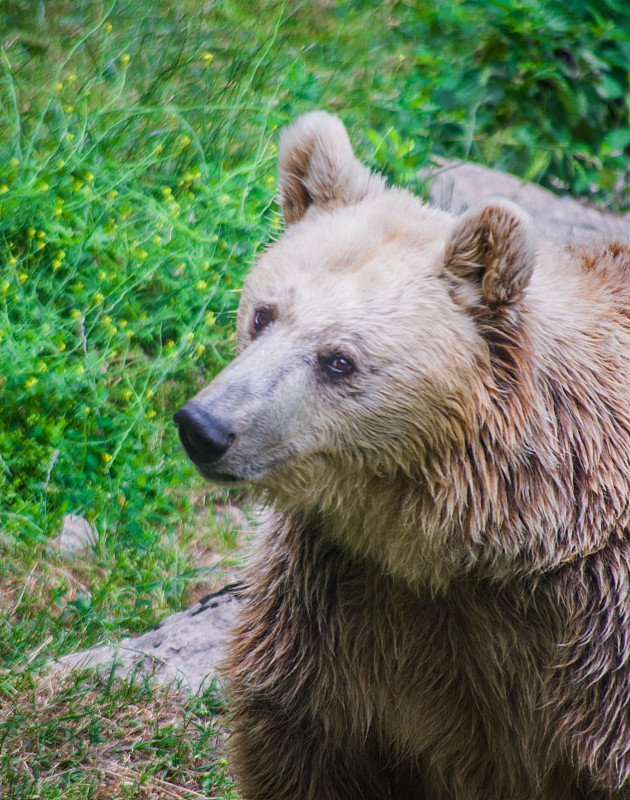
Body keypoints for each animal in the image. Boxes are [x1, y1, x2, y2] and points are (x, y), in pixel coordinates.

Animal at [174, 112, 630, 800]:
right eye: (263, 313)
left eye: (339, 359)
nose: (204, 426)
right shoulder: (349, 604)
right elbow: (304, 737)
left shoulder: (595, 629)